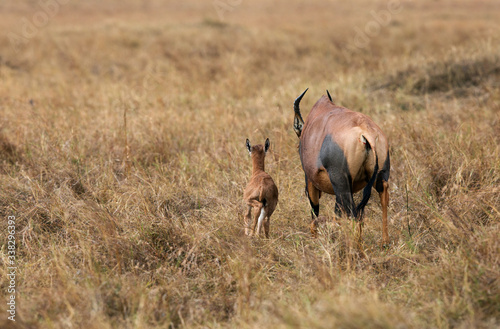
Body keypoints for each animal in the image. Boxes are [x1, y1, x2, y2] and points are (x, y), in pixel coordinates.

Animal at [292, 88, 390, 245]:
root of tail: (366, 132)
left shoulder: (311, 181)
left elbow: (314, 210)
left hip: (340, 183)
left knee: (352, 214)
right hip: (381, 176)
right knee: (382, 201)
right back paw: (384, 243)